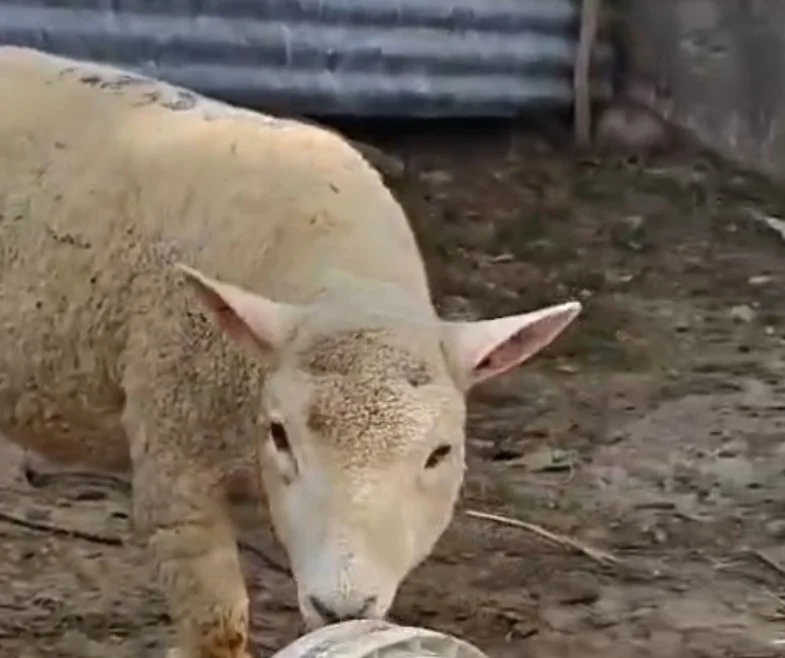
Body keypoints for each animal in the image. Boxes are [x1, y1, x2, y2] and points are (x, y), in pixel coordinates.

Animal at [0, 45, 582, 658]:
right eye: (280, 435)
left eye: (439, 454)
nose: (341, 605)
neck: (349, 286)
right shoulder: (173, 447)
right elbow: (217, 625)